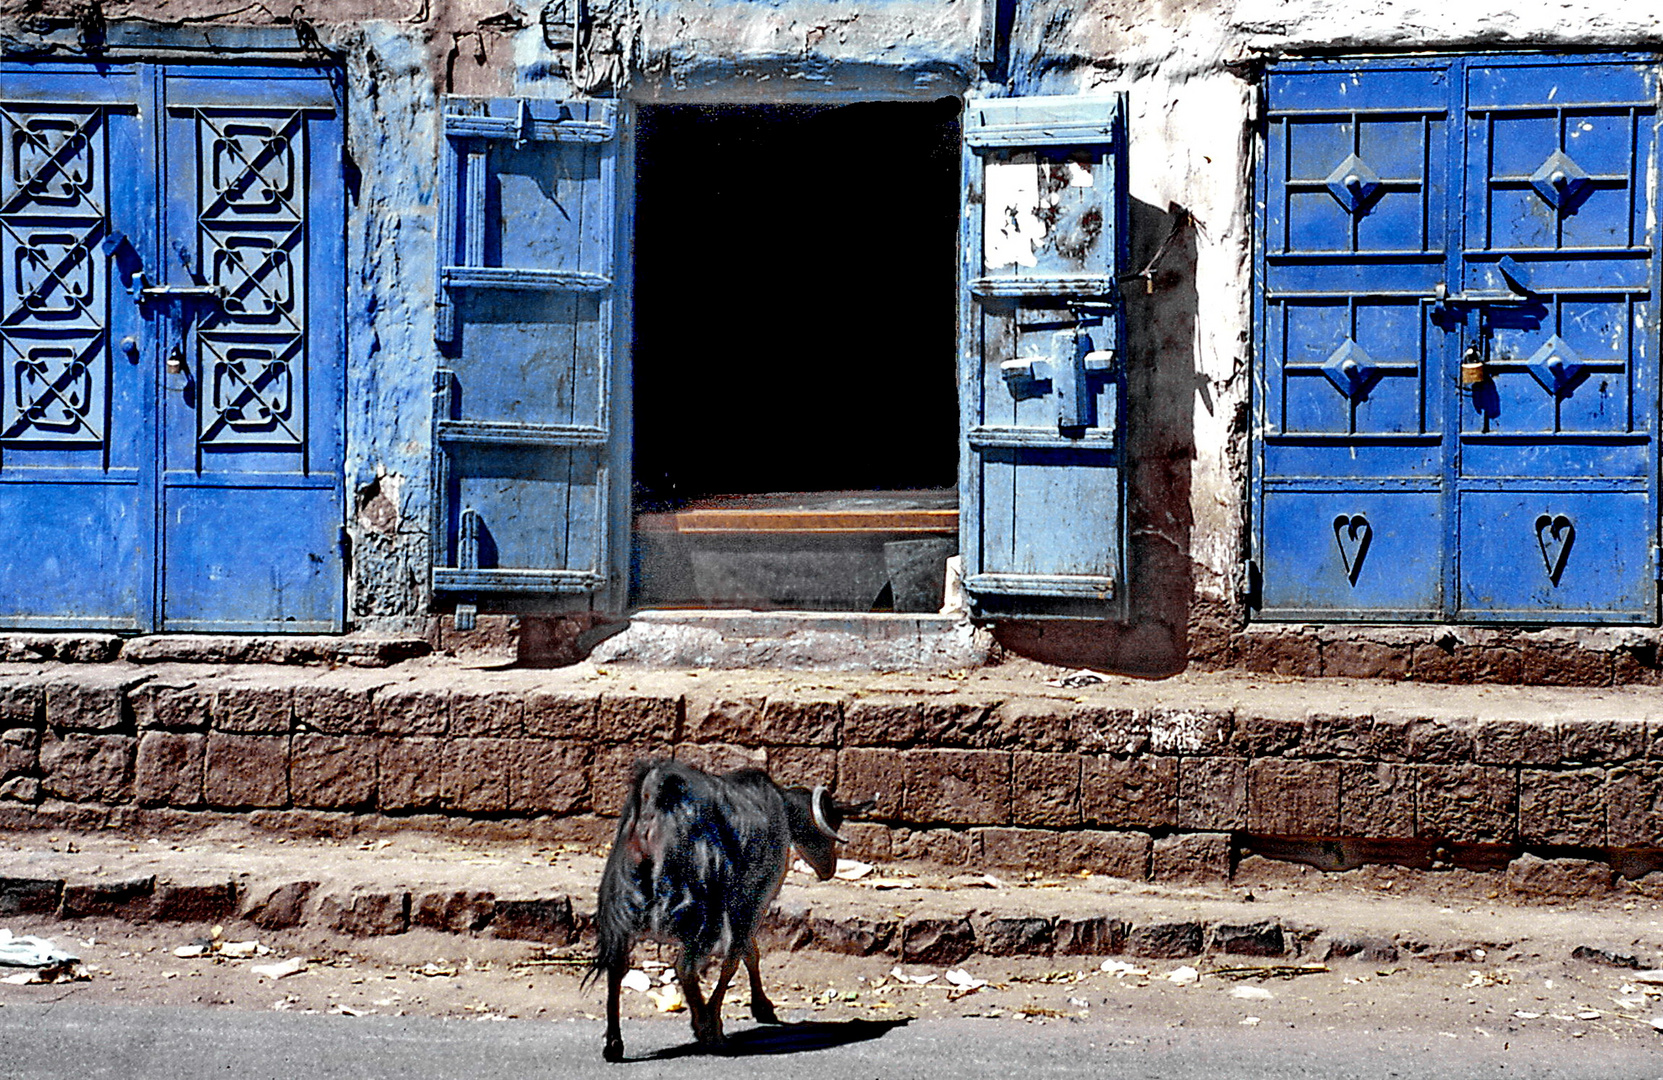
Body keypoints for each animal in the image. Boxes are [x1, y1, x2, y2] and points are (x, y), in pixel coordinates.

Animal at [592, 758, 871, 1058]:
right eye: (834, 821)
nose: (829, 869)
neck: (781, 808)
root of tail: (653, 803)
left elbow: (748, 952)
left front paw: (761, 1008)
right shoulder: (753, 895)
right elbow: (737, 957)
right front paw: (734, 1016)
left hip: (621, 903)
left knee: (617, 966)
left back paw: (614, 1044)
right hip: (698, 910)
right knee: (686, 966)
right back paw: (709, 1031)